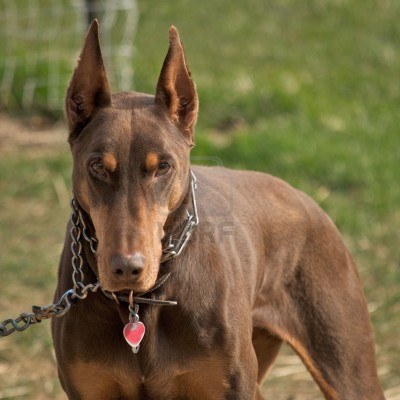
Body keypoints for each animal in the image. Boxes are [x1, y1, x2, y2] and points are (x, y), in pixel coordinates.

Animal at [52, 21, 384, 400]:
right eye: (97, 167)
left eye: (162, 166)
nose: (127, 268)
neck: (144, 303)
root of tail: (307, 200)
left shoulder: (232, 386)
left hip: (345, 362)